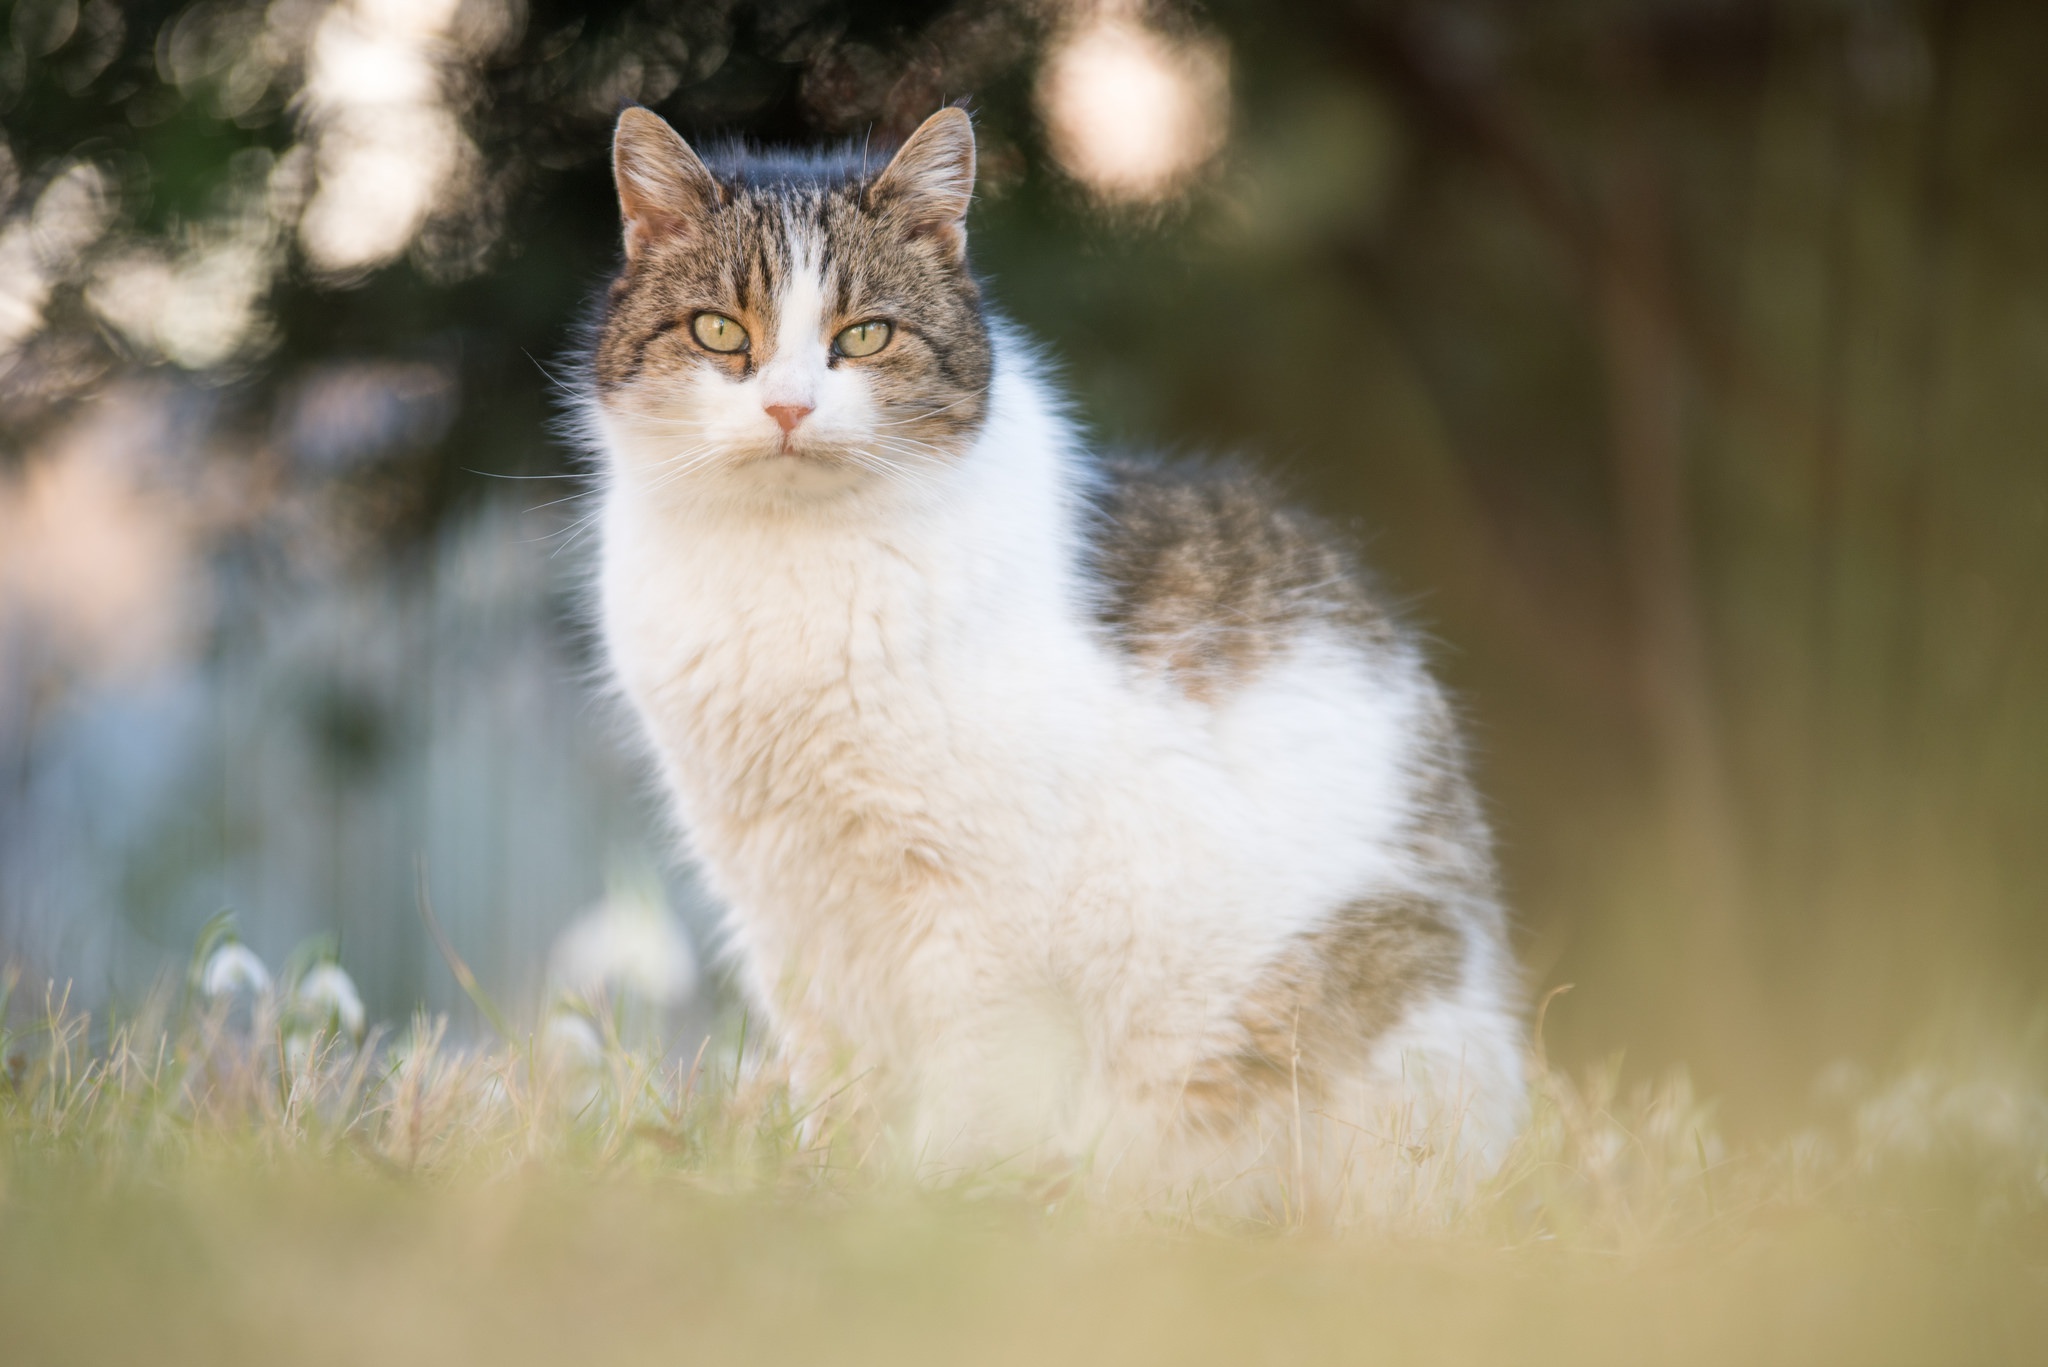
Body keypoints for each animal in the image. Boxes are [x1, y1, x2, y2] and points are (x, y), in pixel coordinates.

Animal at [577, 104, 1523, 1221]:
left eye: (865, 336)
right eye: (720, 331)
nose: (789, 409)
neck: (784, 564)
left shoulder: (981, 906)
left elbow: (970, 1084)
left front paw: (924, 1211)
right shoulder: (782, 898)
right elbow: (836, 1070)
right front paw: (831, 1191)